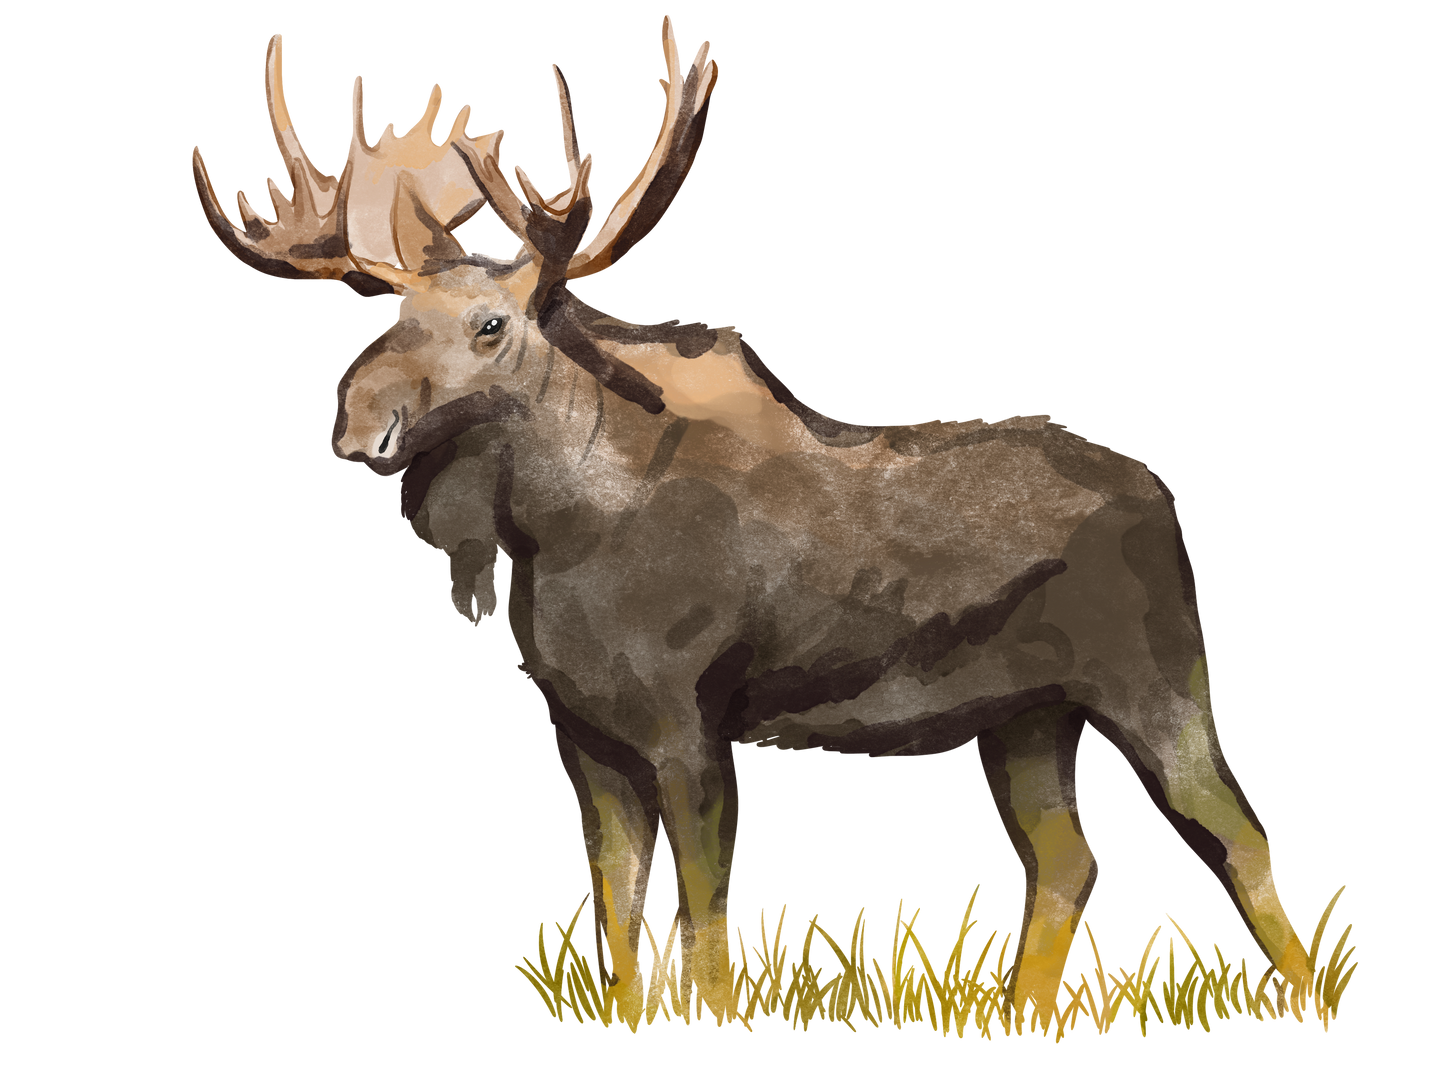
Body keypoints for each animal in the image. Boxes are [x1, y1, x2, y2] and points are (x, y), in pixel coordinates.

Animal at [189, 14, 1335, 1035]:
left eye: (488, 323)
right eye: (389, 315)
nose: (354, 422)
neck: (553, 540)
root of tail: (1162, 491)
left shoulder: (690, 716)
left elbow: (703, 916)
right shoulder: (578, 728)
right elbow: (614, 917)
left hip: (1153, 675)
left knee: (1237, 832)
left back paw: (1300, 1004)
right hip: (1022, 716)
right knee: (1065, 857)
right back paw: (1018, 1013)